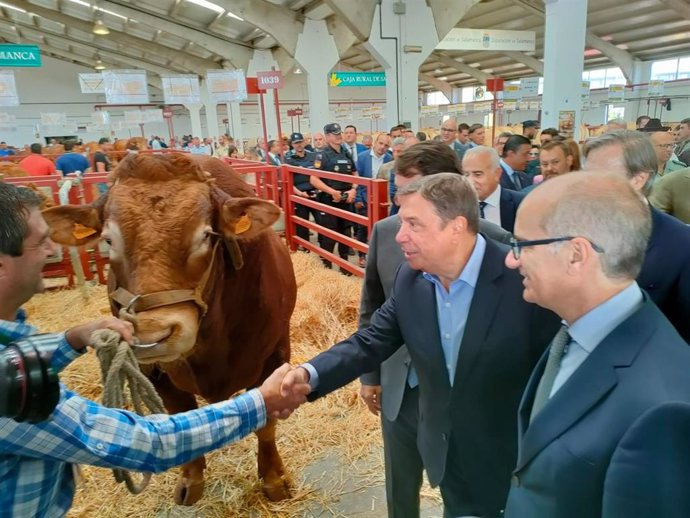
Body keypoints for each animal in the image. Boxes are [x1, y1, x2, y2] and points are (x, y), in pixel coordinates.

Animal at [43, 153, 296, 508]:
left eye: (206, 235)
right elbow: (181, 417)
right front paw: (191, 479)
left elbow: (267, 424)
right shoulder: (154, 371)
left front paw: (274, 480)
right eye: (109, 240)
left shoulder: (275, 353)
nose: (153, 333)